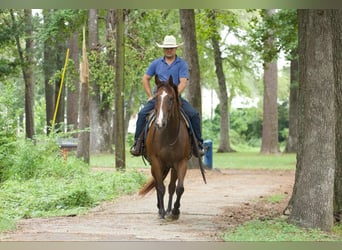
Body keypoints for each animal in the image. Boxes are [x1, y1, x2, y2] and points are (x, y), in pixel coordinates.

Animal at [138, 75, 204, 219]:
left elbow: (178, 188)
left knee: (171, 186)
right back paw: (161, 208)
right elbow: (160, 187)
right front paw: (162, 212)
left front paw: (174, 211)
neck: (168, 135)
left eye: (171, 98)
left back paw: (169, 209)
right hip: (157, 165)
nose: (160, 123)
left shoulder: (181, 162)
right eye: (156, 97)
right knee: (158, 184)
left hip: (172, 166)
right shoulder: (156, 162)